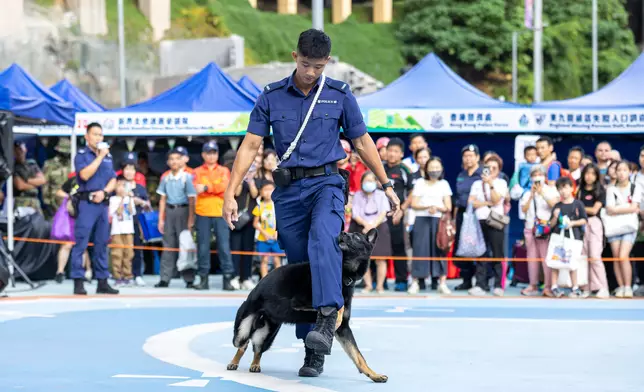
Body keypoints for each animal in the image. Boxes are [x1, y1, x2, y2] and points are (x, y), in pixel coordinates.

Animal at [226, 230, 388, 382]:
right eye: (349, 233)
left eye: (357, 237)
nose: (342, 232)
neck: (342, 273)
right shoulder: (300, 303)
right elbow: (335, 307)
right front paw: (337, 312)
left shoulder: (344, 330)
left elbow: (358, 356)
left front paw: (374, 375)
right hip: (242, 331)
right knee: (243, 345)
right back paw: (233, 362)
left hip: (267, 333)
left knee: (257, 348)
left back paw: (255, 364)